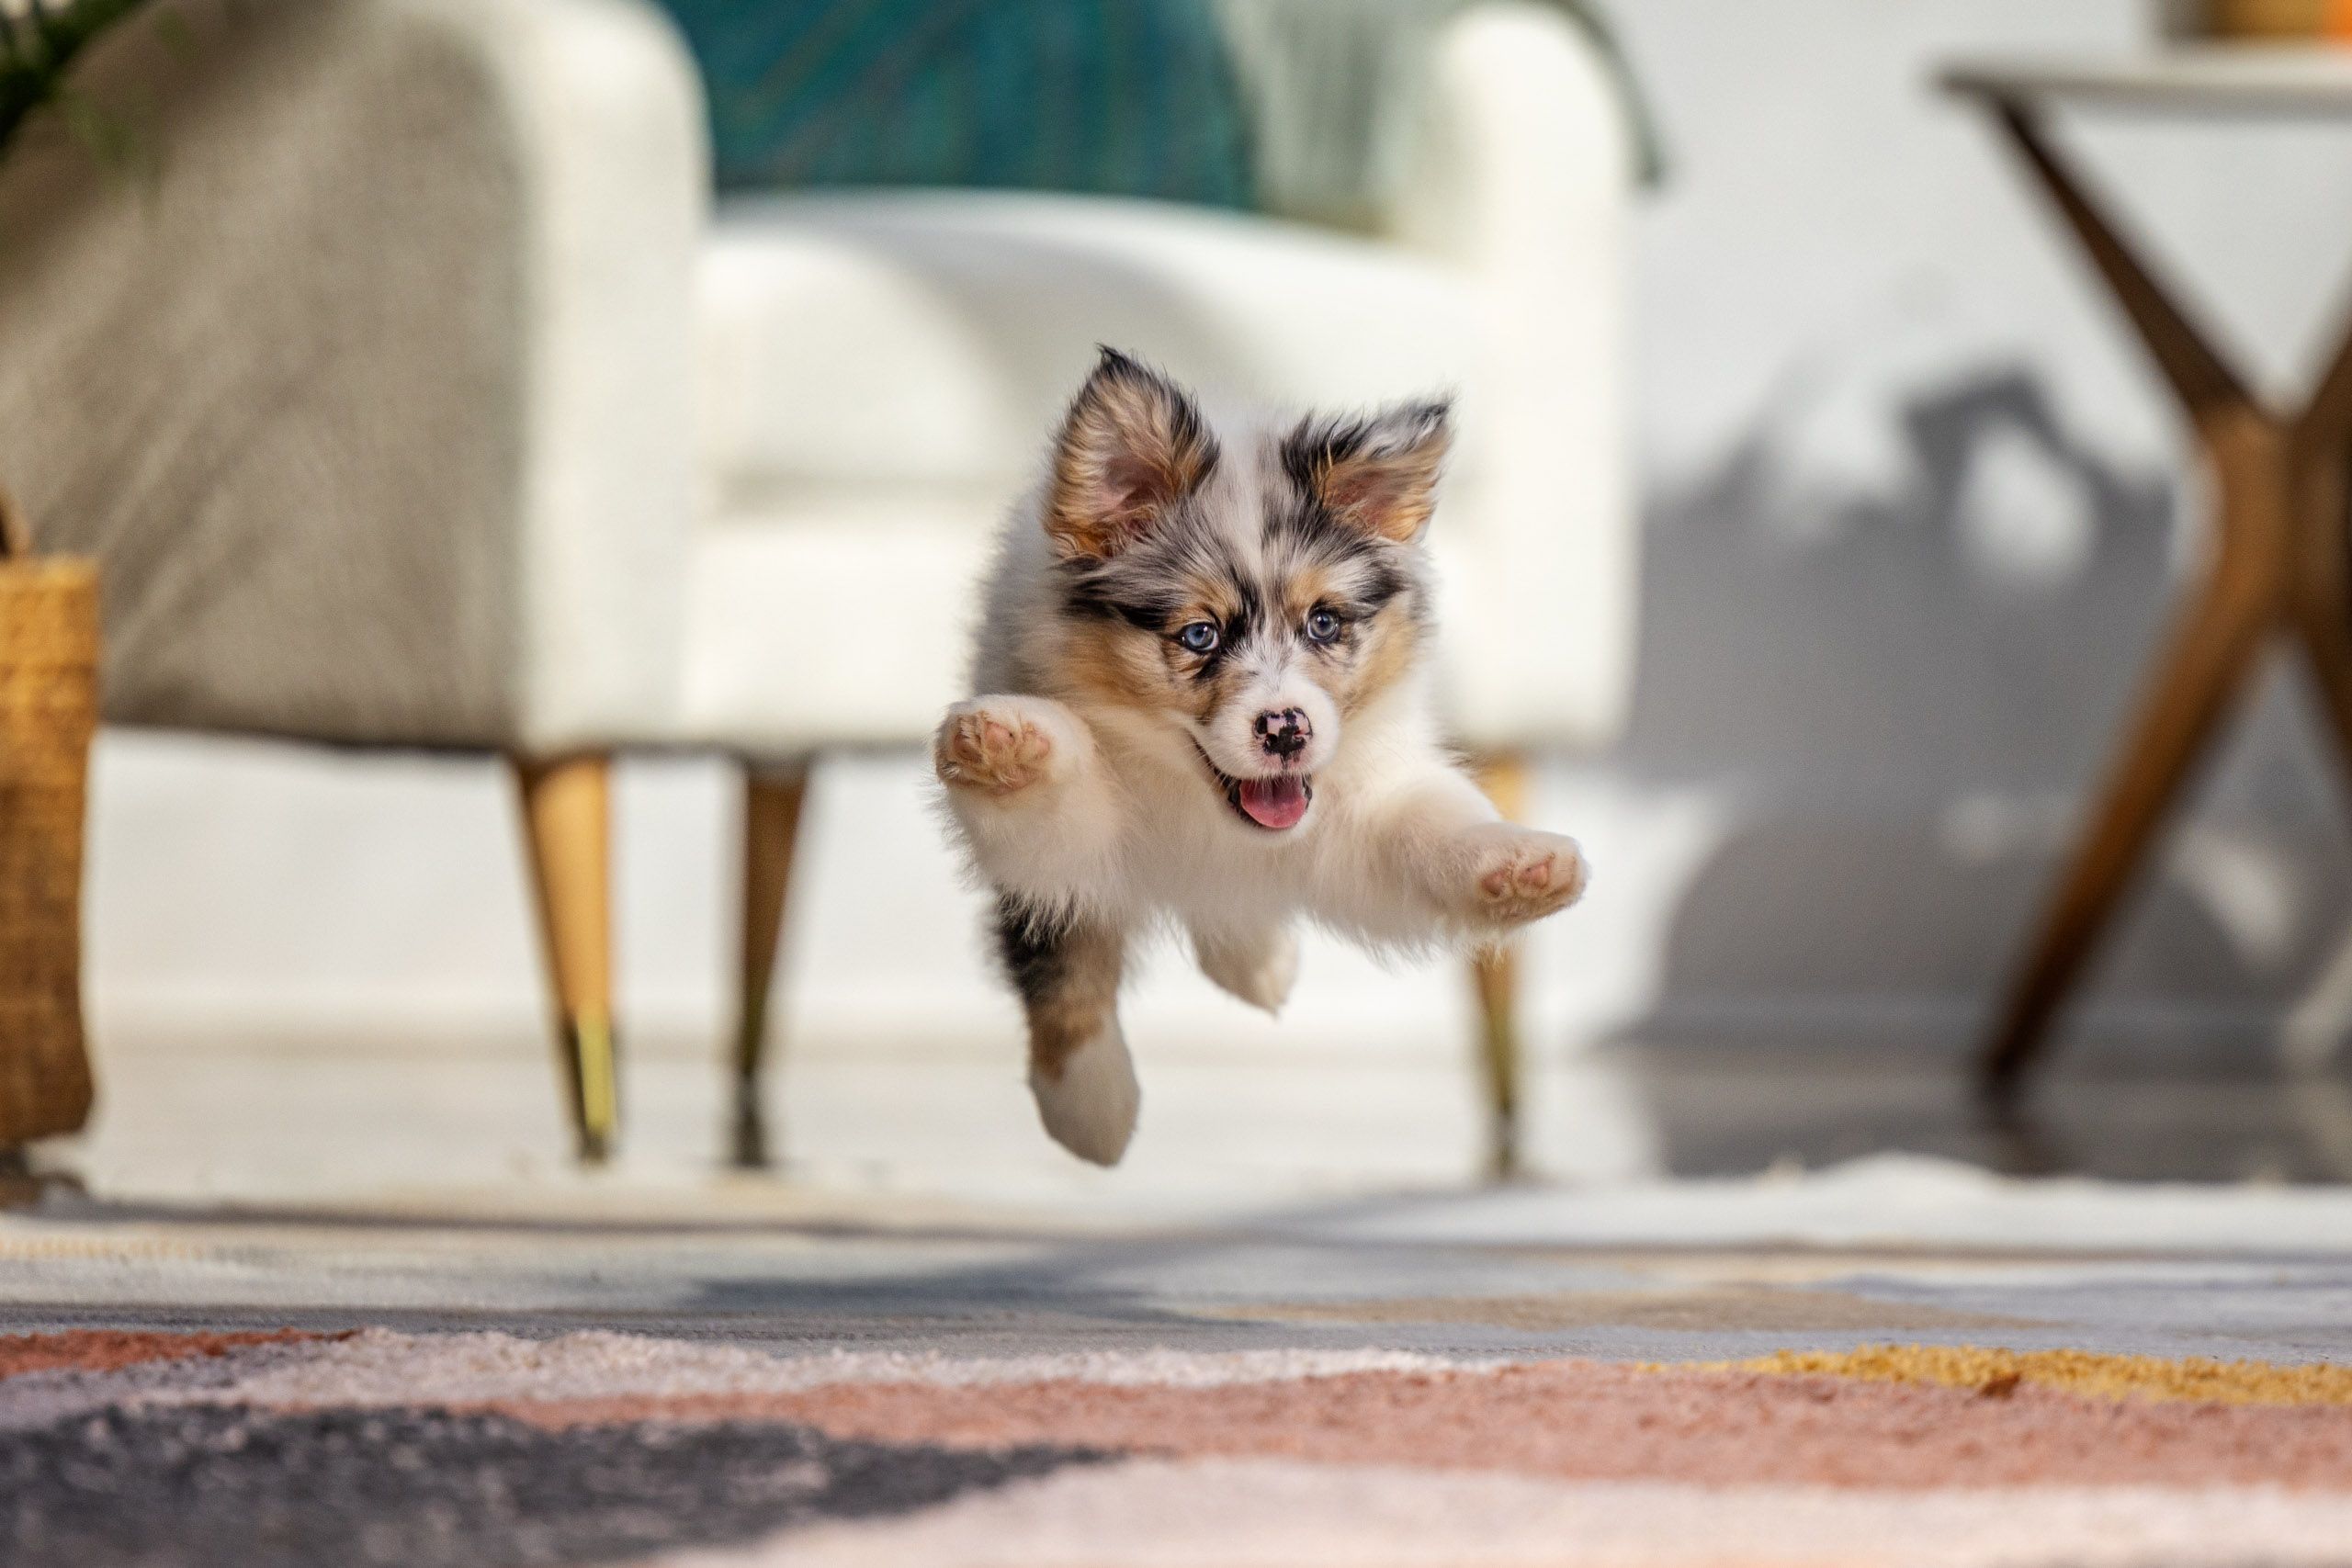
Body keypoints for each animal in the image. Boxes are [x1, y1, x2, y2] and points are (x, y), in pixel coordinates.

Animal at [931, 352, 1580, 1166]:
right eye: (1200, 634)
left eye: (1324, 622)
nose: (1287, 730)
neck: (1195, 802)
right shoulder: (1058, 848)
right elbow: (1070, 951)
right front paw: (1092, 1107)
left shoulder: (1363, 806)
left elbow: (1432, 829)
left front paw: (1521, 865)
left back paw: (1260, 959)